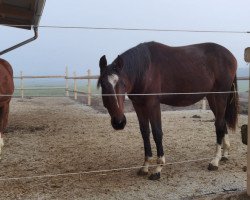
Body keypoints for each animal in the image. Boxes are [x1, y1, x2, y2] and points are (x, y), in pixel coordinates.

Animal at [97, 41, 238, 180]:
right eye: (103, 85)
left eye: (122, 84)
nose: (119, 122)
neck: (144, 69)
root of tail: (230, 56)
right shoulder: (138, 105)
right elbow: (145, 133)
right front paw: (145, 166)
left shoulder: (153, 104)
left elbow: (157, 133)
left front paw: (158, 169)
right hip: (212, 97)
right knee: (222, 122)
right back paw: (225, 154)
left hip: (220, 96)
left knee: (219, 124)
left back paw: (215, 161)